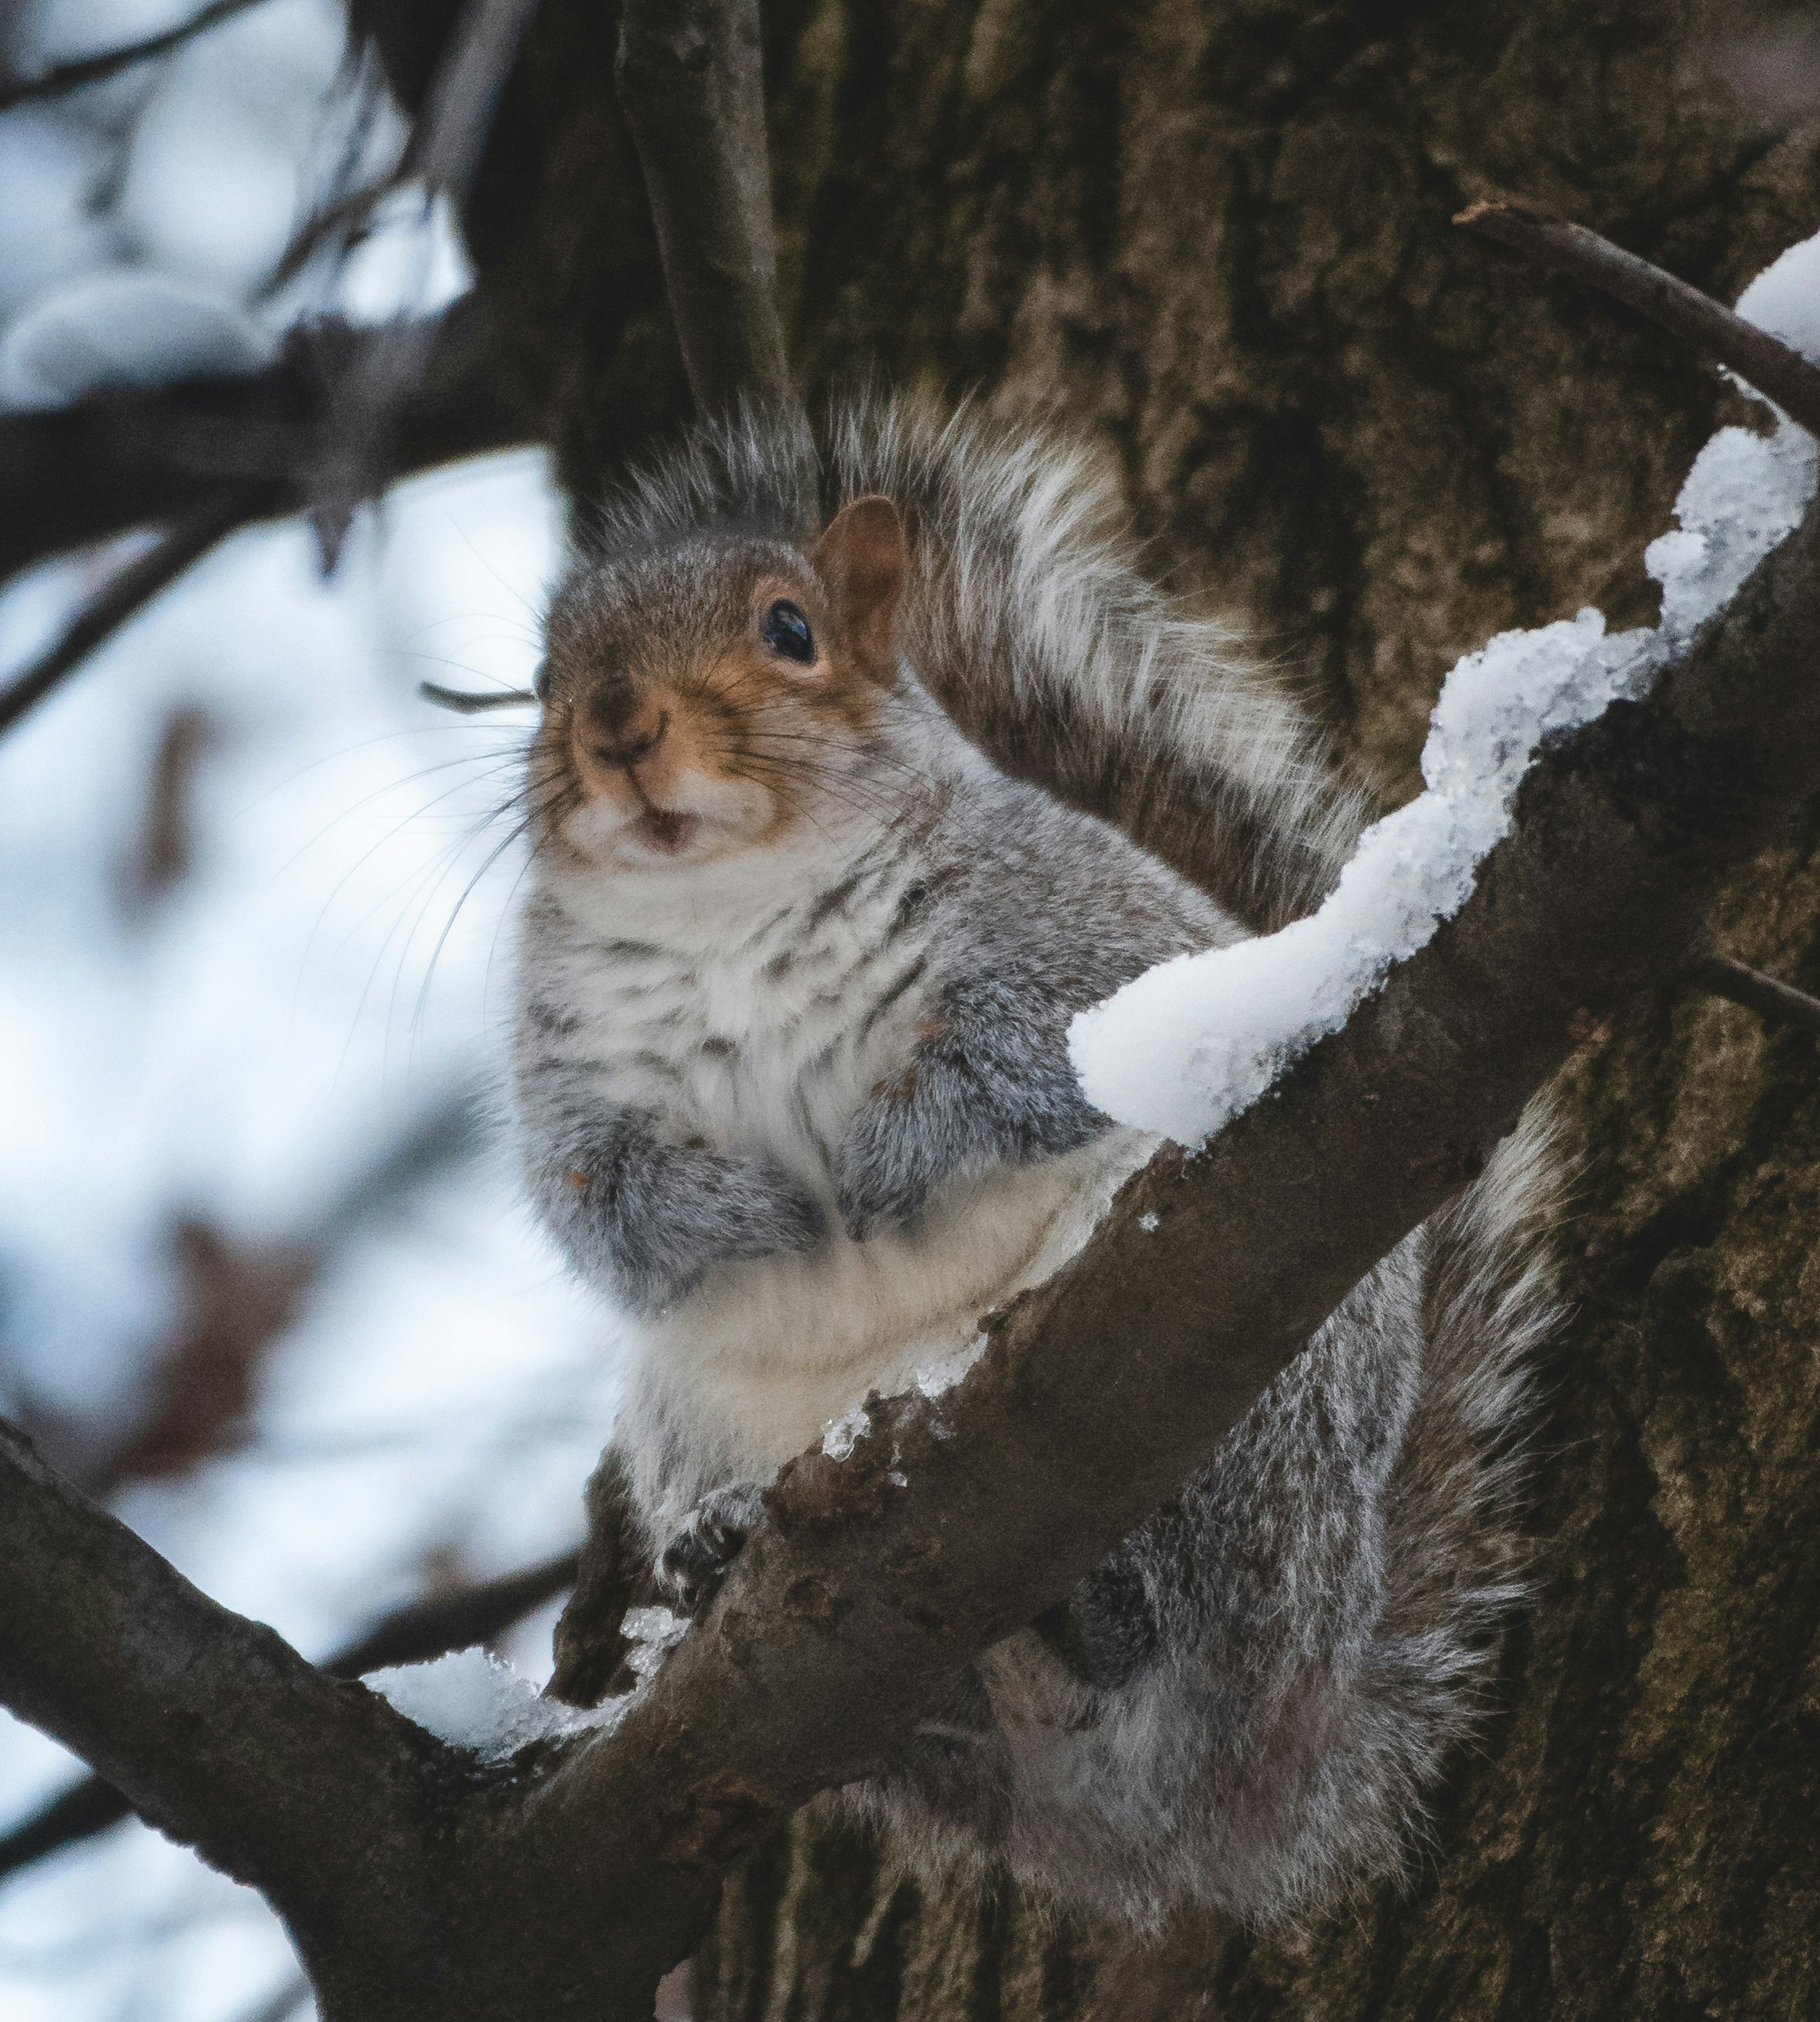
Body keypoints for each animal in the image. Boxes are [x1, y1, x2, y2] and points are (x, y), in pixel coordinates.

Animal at [515, 394, 1559, 1929]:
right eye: (541, 682)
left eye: (789, 629)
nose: (616, 727)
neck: (723, 908)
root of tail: (1190, 1810)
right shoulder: (571, 1079)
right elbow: (599, 1199)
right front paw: (750, 1207)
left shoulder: (1083, 946)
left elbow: (1027, 1070)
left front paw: (881, 1165)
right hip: (694, 1408)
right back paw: (719, 1548)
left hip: (1240, 1390)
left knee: (1168, 1611)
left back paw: (1103, 1603)